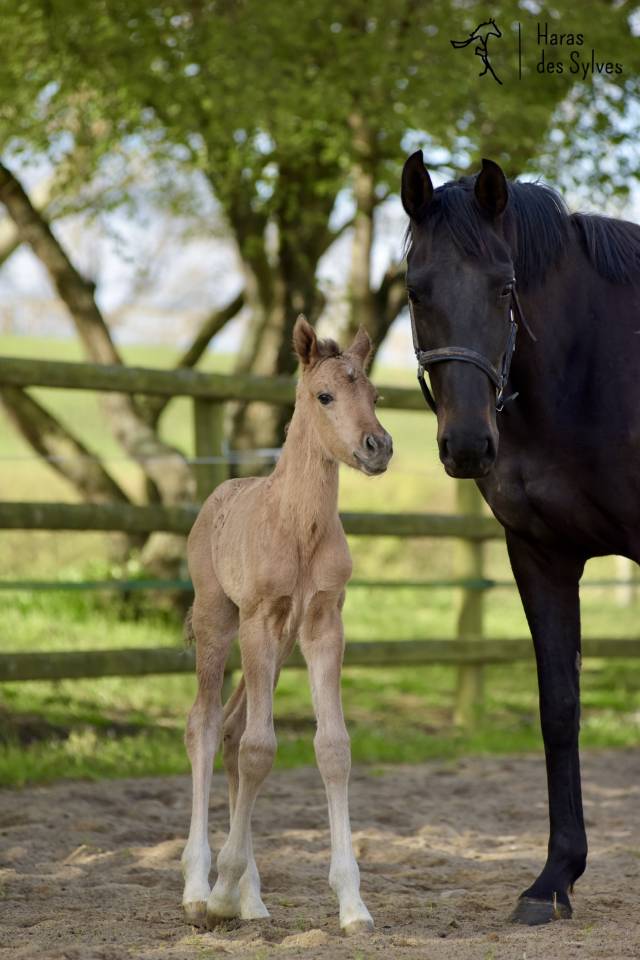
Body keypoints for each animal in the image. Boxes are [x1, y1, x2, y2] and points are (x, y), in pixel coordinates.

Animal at [181, 315, 392, 934]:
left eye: (376, 396)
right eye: (324, 395)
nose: (378, 446)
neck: (299, 526)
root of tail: (220, 491)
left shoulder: (322, 624)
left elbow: (333, 747)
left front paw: (353, 906)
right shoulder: (259, 619)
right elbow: (259, 749)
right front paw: (219, 895)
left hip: (274, 650)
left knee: (230, 732)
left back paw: (250, 900)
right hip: (220, 620)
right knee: (205, 726)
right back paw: (200, 889)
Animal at [401, 149, 640, 925]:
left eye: (505, 286)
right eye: (415, 290)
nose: (469, 445)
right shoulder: (540, 556)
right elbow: (558, 707)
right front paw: (554, 878)